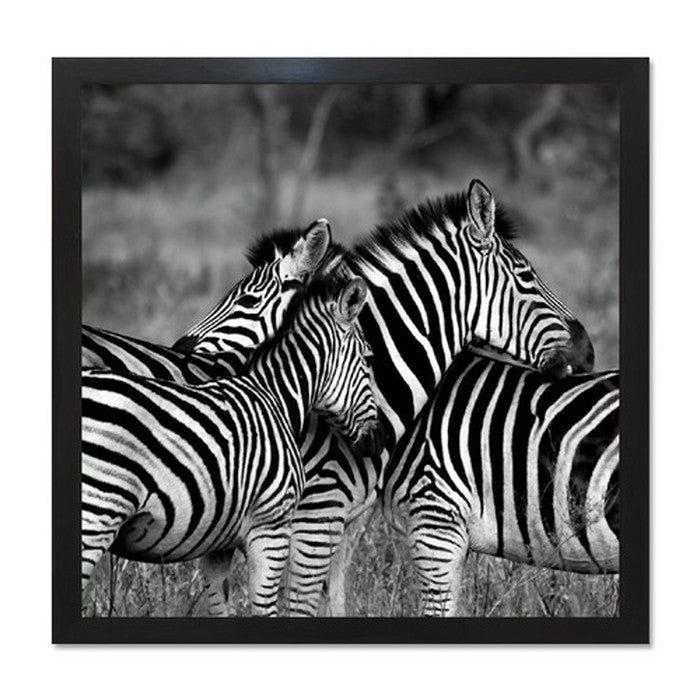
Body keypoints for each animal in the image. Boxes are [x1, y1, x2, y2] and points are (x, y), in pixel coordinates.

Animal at [81, 270, 384, 617]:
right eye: (368, 359)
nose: (378, 440)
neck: (276, 397)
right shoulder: (271, 526)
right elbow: (265, 608)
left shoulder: (217, 541)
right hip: (97, 513)